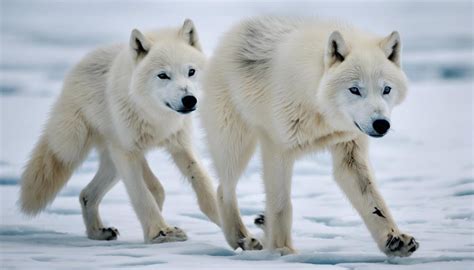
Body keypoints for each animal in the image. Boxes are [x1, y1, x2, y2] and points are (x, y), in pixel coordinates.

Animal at [17, 18, 219, 243]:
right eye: (163, 75)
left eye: (191, 72)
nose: (189, 100)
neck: (156, 117)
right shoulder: (127, 153)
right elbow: (143, 196)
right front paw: (160, 232)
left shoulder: (180, 145)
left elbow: (202, 181)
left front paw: (228, 222)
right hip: (82, 144)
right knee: (146, 189)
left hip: (113, 163)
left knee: (87, 194)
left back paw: (97, 232)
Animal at [200, 15, 418, 256]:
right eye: (355, 90)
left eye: (386, 90)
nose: (381, 124)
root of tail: (230, 36)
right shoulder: (277, 148)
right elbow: (281, 204)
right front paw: (282, 249)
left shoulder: (350, 150)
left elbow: (374, 202)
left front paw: (394, 239)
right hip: (235, 146)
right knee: (224, 190)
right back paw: (242, 239)